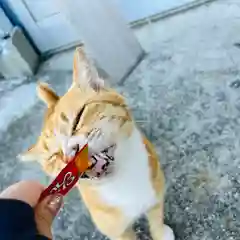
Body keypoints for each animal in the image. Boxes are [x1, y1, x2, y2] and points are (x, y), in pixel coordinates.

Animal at [20, 47, 174, 239]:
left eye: (78, 118)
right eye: (54, 156)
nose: (69, 154)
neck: (123, 181)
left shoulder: (155, 193)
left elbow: (156, 219)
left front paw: (161, 233)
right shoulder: (117, 231)